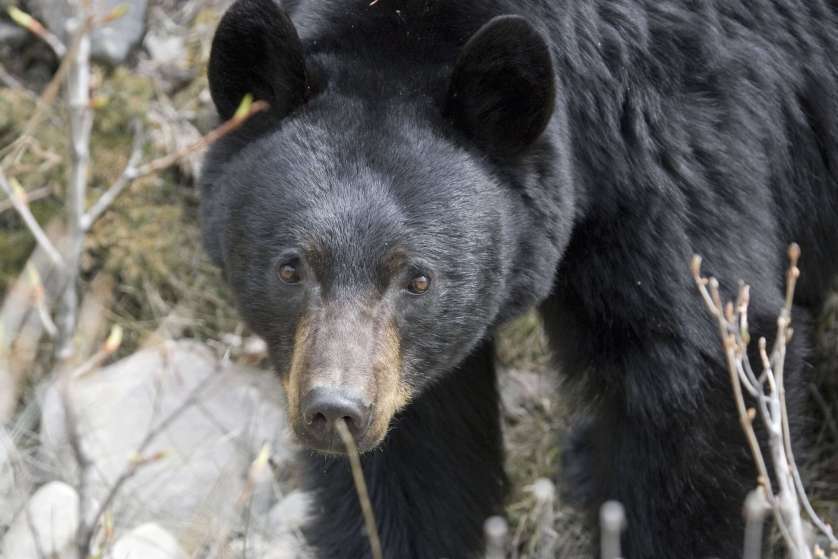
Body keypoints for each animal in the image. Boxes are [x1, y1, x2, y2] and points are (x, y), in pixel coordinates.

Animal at [202, 0, 838, 556]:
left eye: (419, 280)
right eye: (291, 267)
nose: (336, 409)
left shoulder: (672, 153)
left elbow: (697, 373)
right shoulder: (392, 371)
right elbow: (411, 461)